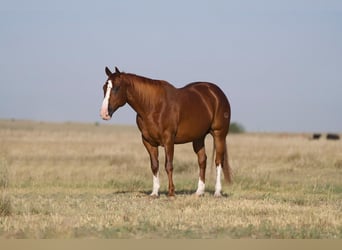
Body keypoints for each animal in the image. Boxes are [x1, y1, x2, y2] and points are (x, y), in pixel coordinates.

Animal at [99, 66, 232, 197]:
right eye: (104, 87)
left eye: (116, 88)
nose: (104, 113)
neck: (153, 106)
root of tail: (216, 92)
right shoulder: (148, 142)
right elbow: (154, 165)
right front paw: (154, 192)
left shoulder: (168, 140)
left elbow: (168, 165)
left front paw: (171, 192)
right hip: (198, 137)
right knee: (202, 160)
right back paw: (199, 192)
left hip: (219, 134)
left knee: (218, 161)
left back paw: (217, 192)